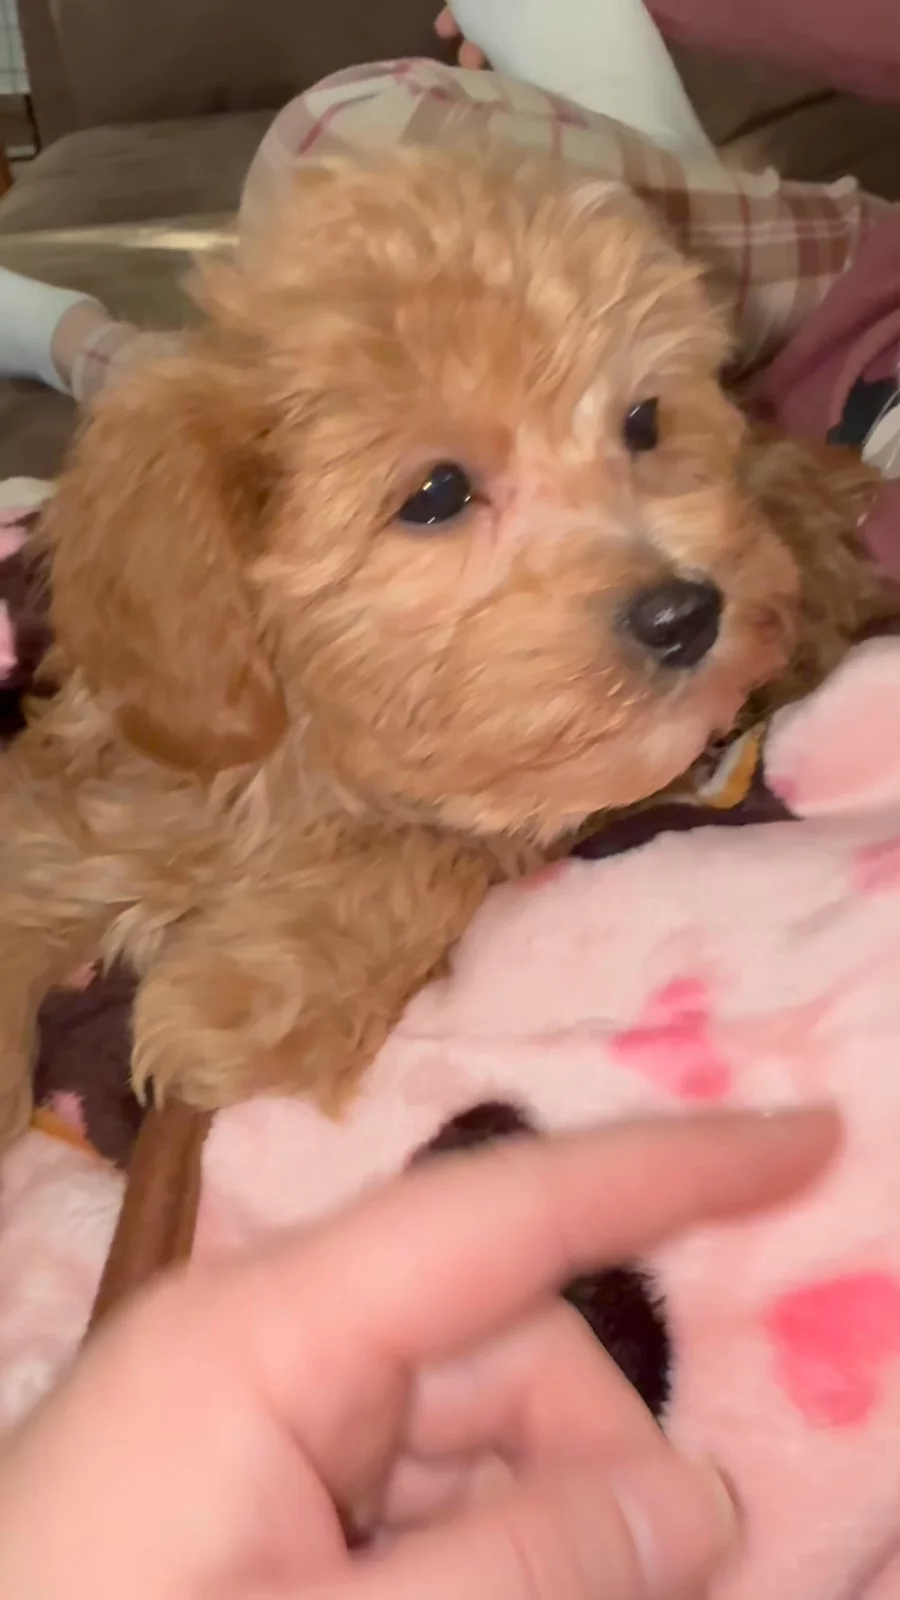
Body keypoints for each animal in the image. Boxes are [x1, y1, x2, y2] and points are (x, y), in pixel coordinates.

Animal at [0, 147, 889, 1148]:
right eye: (435, 492)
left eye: (643, 422)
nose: (684, 614)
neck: (303, 768)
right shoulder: (104, 804)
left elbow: (425, 846)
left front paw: (256, 984)